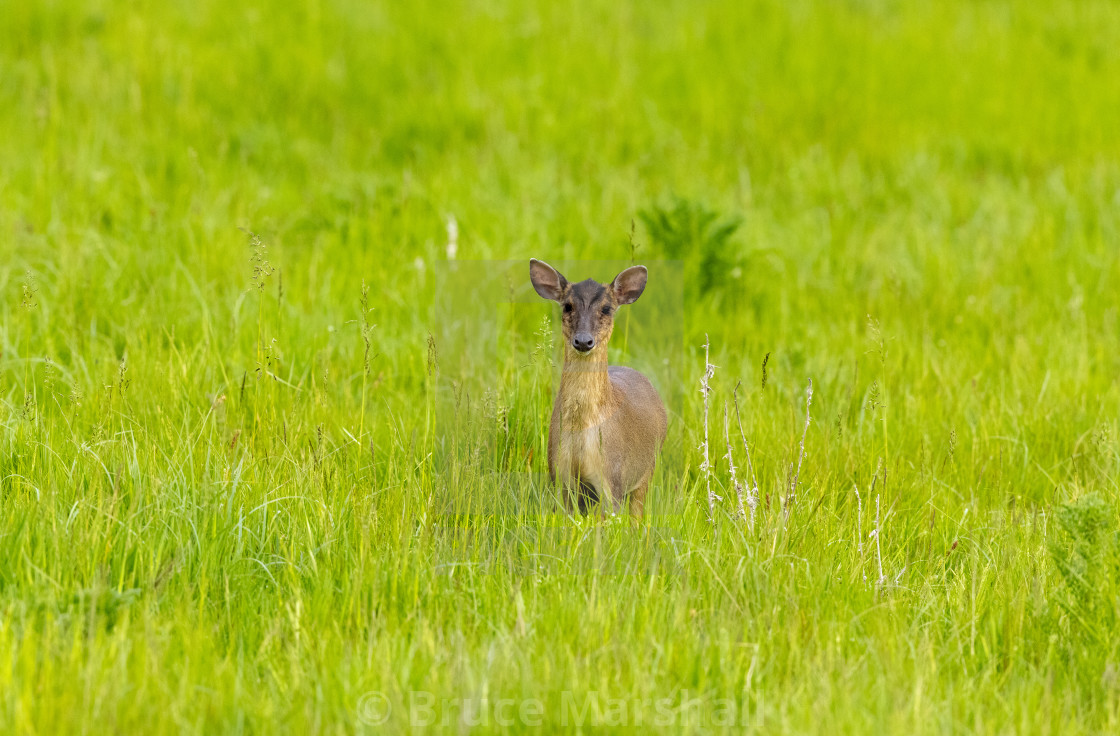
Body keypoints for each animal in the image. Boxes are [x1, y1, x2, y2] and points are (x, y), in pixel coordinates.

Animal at [528, 258, 667, 517]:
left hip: (647, 471)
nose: (583, 340)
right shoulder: (560, 475)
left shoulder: (612, 480)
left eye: (606, 309)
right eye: (568, 306)